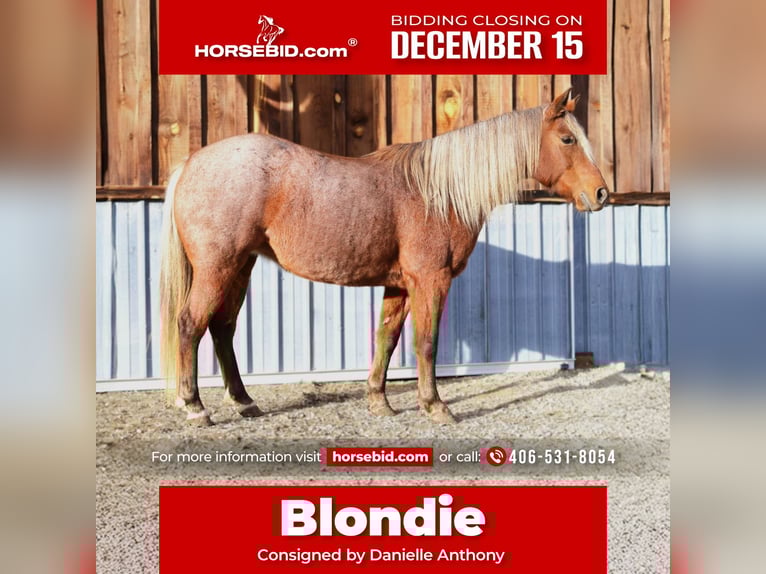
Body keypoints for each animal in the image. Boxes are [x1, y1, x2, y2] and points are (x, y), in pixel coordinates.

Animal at [159, 89, 609, 426]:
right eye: (567, 139)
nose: (601, 194)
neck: (437, 193)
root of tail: (191, 163)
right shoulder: (430, 280)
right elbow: (426, 343)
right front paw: (435, 406)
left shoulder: (399, 285)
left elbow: (386, 339)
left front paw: (379, 401)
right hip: (218, 268)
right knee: (191, 324)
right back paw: (195, 406)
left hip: (241, 267)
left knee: (222, 328)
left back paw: (243, 401)